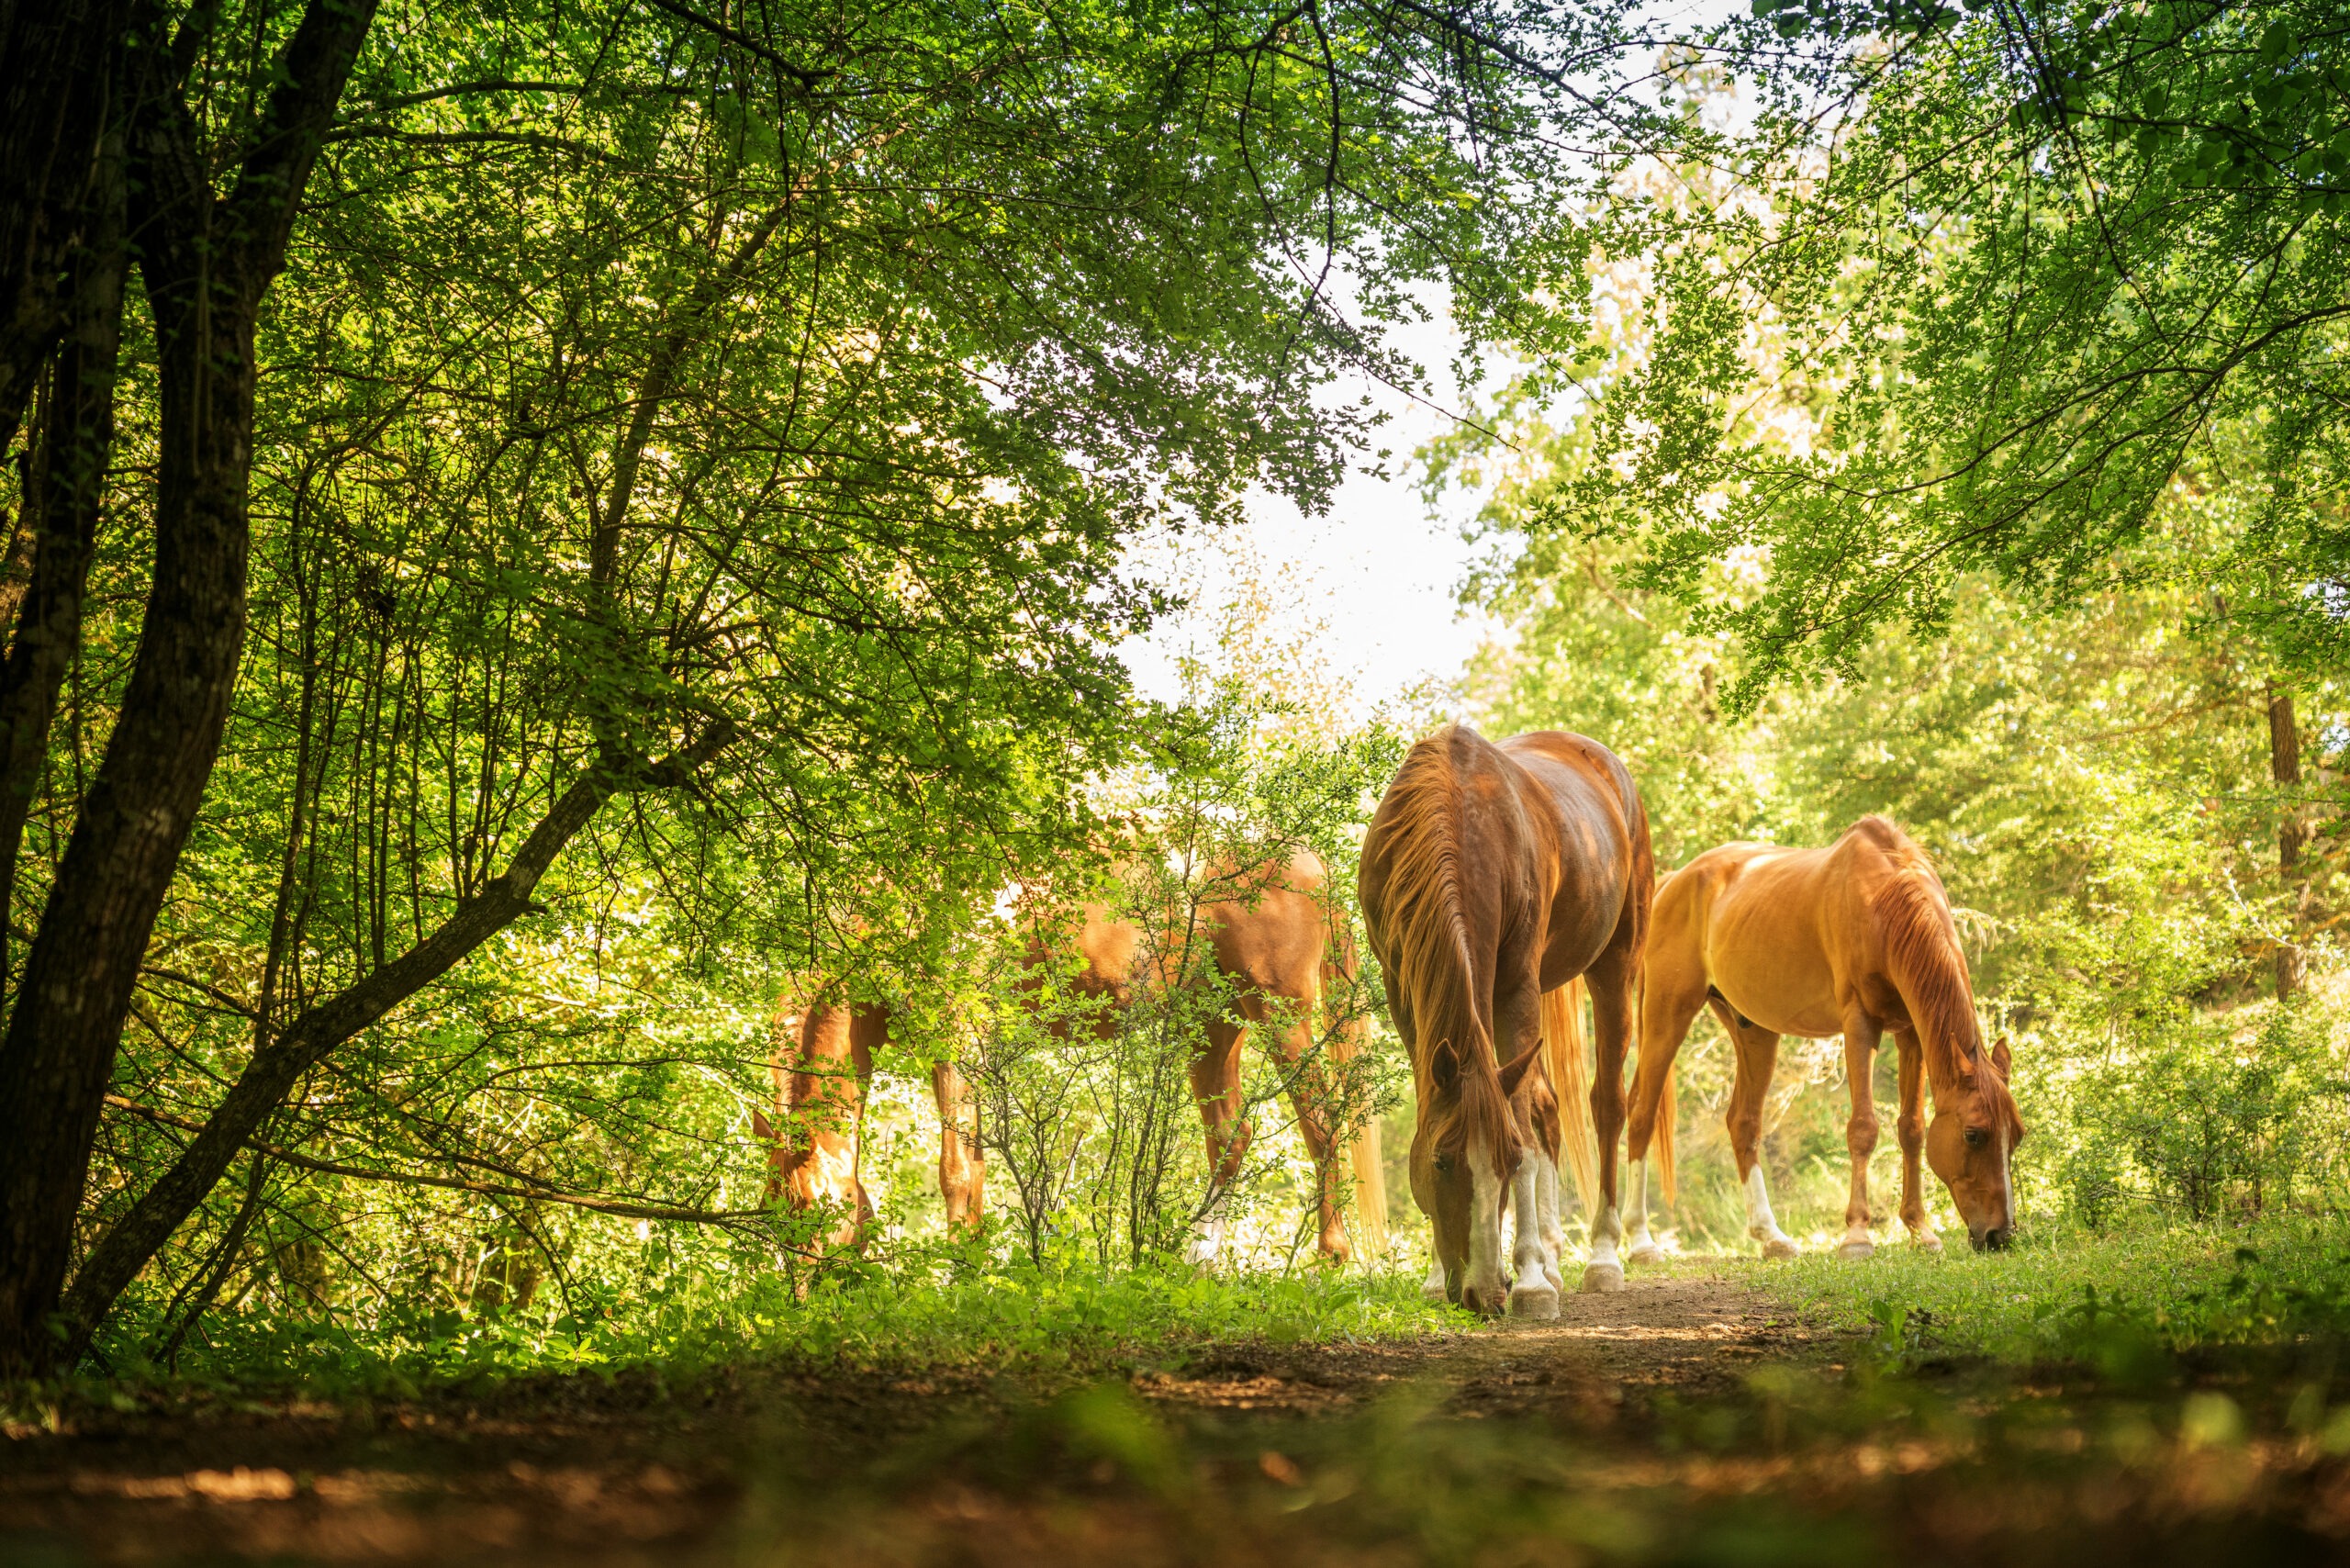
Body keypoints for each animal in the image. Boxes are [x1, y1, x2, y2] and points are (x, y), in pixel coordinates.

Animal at [752, 850, 1382, 1269]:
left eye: (808, 1209)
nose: (802, 1298)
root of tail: (1309, 858)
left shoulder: (957, 1036)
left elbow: (956, 1170)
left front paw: (959, 1276)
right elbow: (975, 1169)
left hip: (1281, 1015)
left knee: (1323, 1125)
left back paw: (1331, 1258)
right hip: (1212, 1025)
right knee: (1231, 1137)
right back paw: (1198, 1259)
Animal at [1353, 728, 1663, 1316]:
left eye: (1508, 1158)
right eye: (1442, 1161)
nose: (1485, 1292)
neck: (1457, 814)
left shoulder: (1516, 983)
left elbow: (1523, 1124)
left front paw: (1532, 1281)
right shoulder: (1401, 988)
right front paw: (1438, 1277)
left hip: (1617, 964)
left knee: (1606, 1105)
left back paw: (1600, 1257)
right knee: (1547, 1106)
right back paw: (1555, 1256)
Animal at [1626, 823, 2030, 1260]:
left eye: (2018, 1134)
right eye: (1974, 1134)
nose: (2001, 1235)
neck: (1883, 904)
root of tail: (1672, 883)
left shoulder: (1911, 1034)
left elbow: (1912, 1130)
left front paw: (1920, 1230)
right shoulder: (1860, 1025)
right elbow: (1863, 1129)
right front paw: (1857, 1235)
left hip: (1754, 1030)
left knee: (1743, 1123)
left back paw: (1772, 1236)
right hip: (1668, 1013)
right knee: (1641, 1116)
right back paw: (1639, 1241)